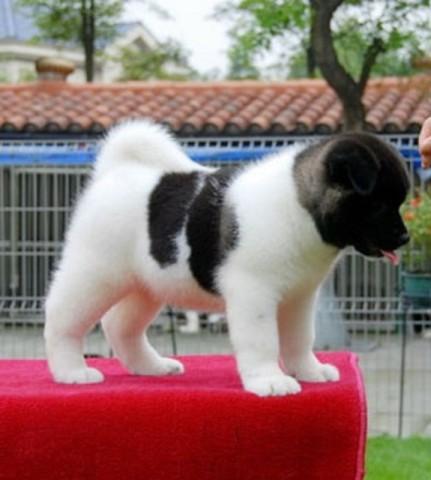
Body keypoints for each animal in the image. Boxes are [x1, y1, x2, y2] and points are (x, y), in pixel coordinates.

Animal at [44, 121, 410, 396]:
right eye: (379, 204)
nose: (405, 237)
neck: (300, 206)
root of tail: (116, 171)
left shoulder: (299, 298)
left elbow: (299, 338)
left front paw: (309, 370)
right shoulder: (254, 293)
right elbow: (263, 340)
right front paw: (269, 381)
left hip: (145, 286)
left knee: (120, 326)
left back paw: (151, 366)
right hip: (95, 273)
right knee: (63, 318)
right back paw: (72, 370)